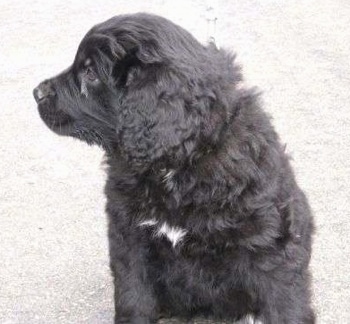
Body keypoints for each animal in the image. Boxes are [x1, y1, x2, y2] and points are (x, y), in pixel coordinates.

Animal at [34, 12, 316, 324]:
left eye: (90, 73)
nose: (36, 92)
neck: (175, 166)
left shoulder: (270, 247)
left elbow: (286, 305)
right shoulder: (130, 238)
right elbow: (133, 298)